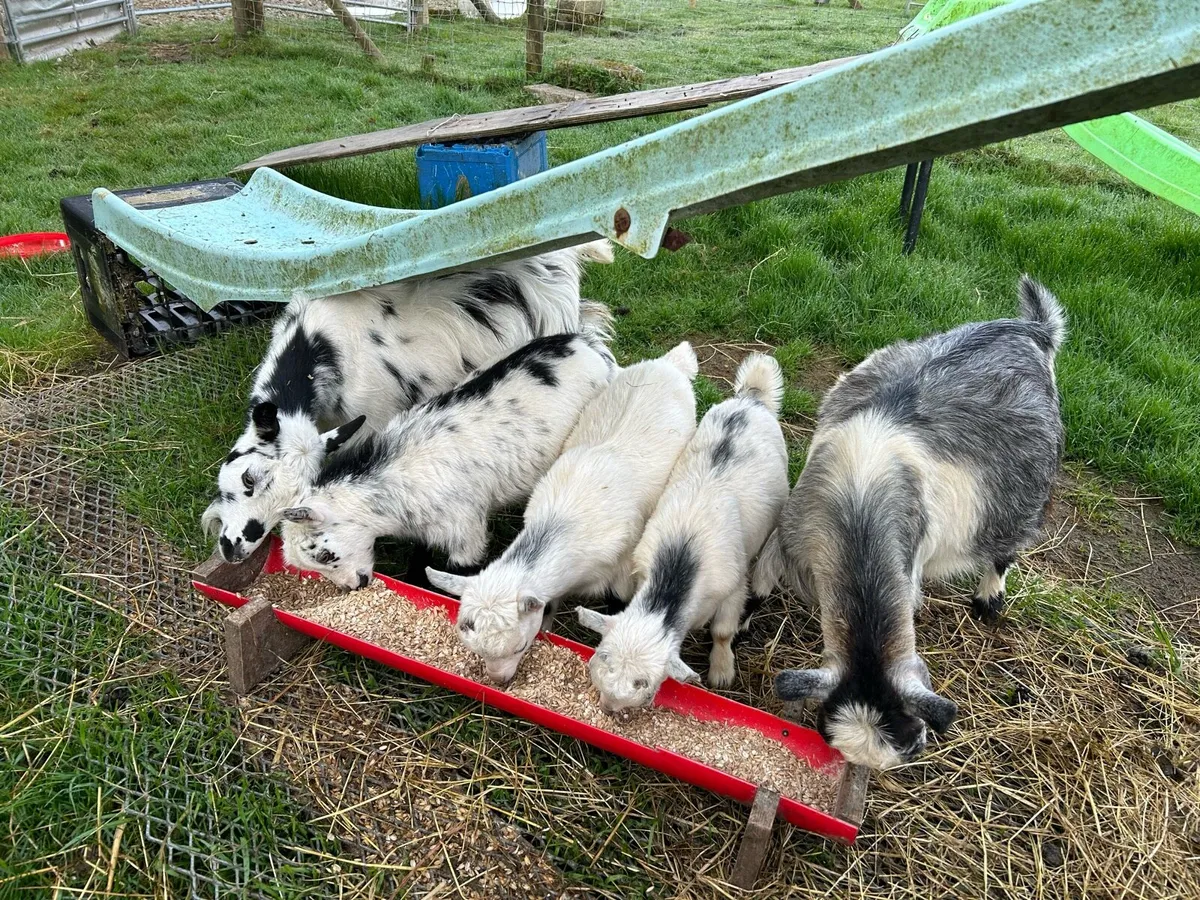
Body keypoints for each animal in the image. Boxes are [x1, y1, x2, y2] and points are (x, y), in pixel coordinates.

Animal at [279, 331, 617, 589]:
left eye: (324, 555)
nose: (353, 587)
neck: (397, 474)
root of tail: (587, 343)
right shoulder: (426, 526)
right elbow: (421, 558)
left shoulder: (466, 533)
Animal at [426, 341, 700, 684]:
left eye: (519, 647)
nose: (501, 680)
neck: (564, 522)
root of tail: (668, 363)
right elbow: (551, 603)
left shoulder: (624, 569)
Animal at [579, 353, 789, 711]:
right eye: (602, 656)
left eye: (644, 682)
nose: (609, 706)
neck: (681, 556)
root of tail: (751, 398)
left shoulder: (732, 588)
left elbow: (722, 631)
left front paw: (722, 671)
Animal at [773, 276, 1066, 769]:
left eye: (913, 740)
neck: (858, 505)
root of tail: (1030, 329)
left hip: (1024, 490)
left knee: (1004, 548)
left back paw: (989, 599)